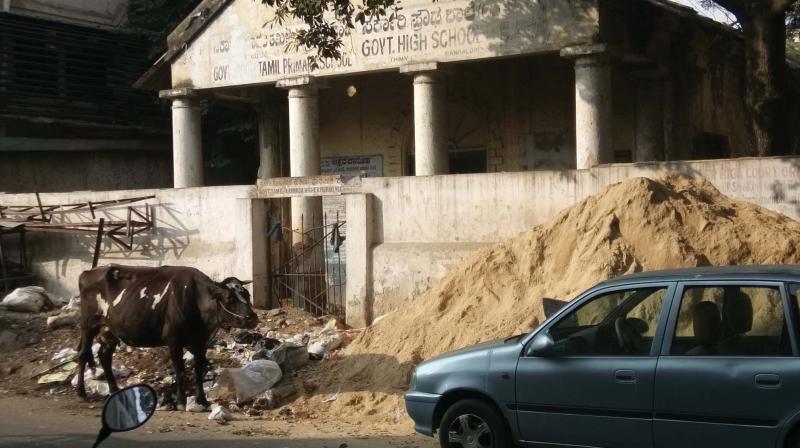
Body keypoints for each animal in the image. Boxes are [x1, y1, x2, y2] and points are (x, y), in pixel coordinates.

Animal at [74, 266, 256, 410]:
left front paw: (202, 400)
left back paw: (114, 390)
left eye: (247, 295)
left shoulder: (201, 342)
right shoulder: (173, 340)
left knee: (104, 356)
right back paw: (81, 393)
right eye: (229, 298)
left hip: (110, 331)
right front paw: (181, 401)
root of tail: (89, 272)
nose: (252, 318)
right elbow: (180, 371)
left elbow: (199, 371)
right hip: (88, 324)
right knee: (83, 355)